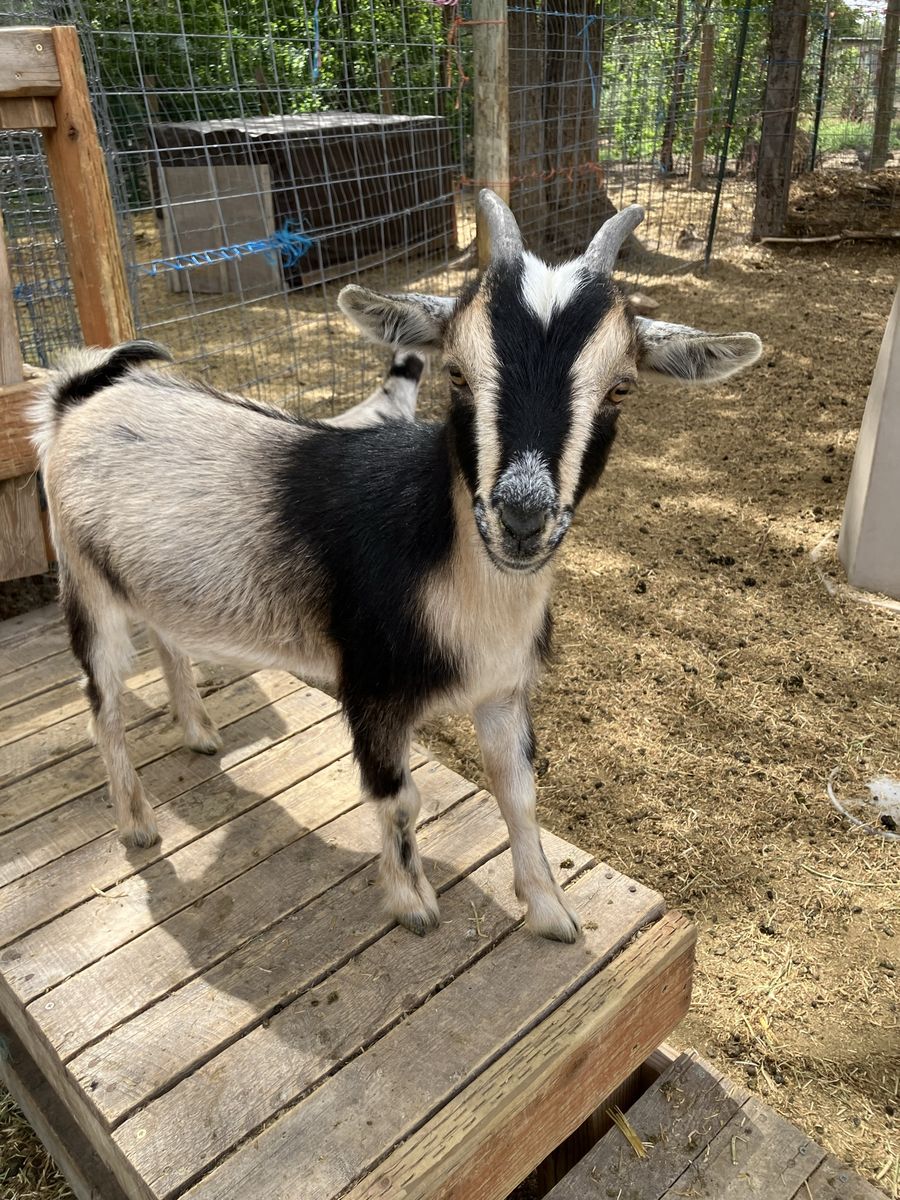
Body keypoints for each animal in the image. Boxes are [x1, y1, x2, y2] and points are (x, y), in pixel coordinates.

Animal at [33, 192, 761, 942]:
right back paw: (138, 824)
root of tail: (77, 397)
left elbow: (520, 792)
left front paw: (552, 911)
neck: (452, 569)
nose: (522, 517)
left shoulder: (503, 689)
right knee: (102, 705)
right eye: (457, 373)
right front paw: (413, 903)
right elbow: (399, 798)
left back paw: (201, 733)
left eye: (621, 389)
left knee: (168, 640)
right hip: (83, 585)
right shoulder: (370, 688)